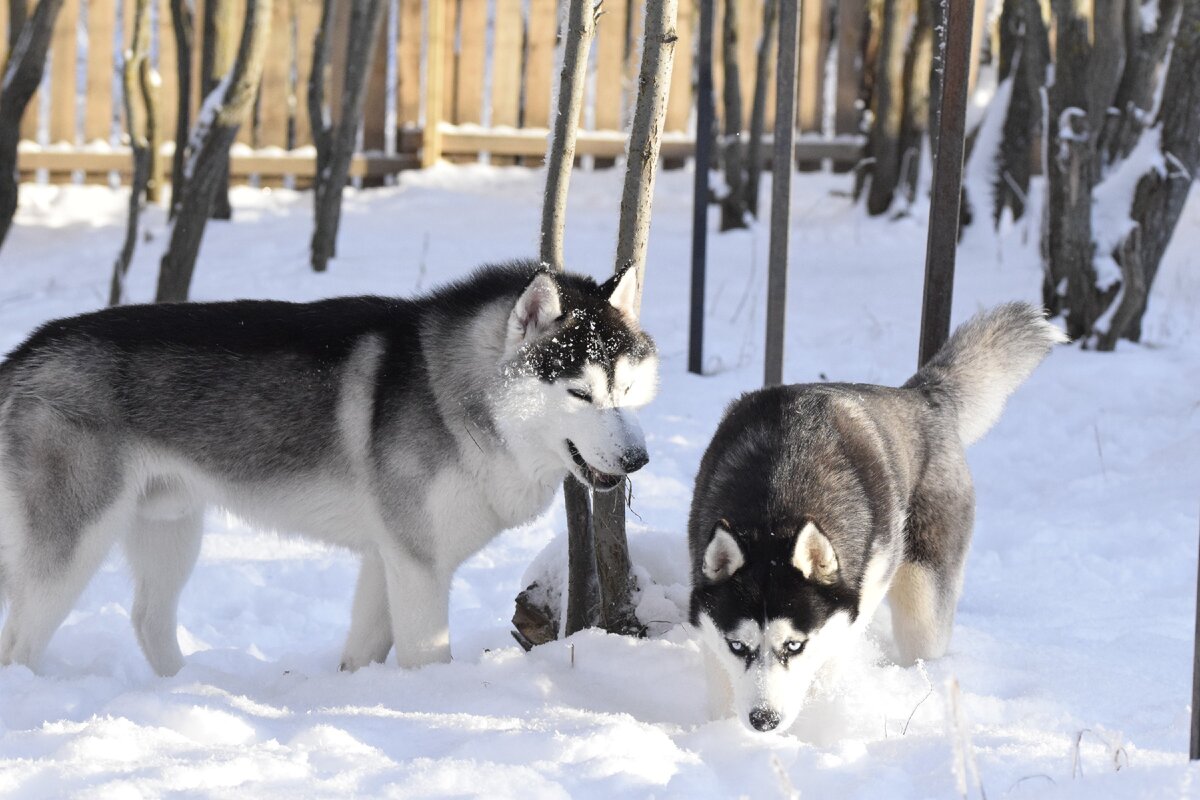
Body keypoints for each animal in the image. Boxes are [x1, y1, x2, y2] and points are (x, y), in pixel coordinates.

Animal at [0, 262, 657, 676]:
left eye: (626, 388)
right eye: (579, 394)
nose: (637, 459)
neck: (460, 399)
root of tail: (27, 351)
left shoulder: (385, 556)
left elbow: (364, 648)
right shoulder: (417, 563)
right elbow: (425, 654)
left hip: (171, 528)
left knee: (148, 619)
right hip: (73, 547)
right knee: (20, 643)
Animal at [691, 304, 1065, 734]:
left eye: (794, 645)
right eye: (738, 645)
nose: (763, 720)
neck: (777, 500)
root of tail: (921, 396)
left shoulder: (852, 608)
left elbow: (830, 659)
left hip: (923, 596)